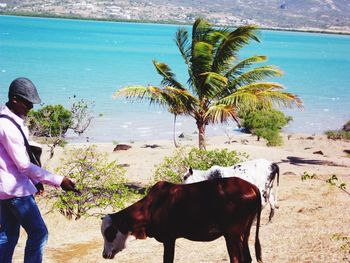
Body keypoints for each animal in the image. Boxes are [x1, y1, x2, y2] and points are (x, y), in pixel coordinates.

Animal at [101, 177, 262, 263]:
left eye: (109, 233)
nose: (104, 255)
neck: (151, 206)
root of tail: (252, 186)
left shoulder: (168, 239)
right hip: (244, 234)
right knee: (247, 258)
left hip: (231, 235)